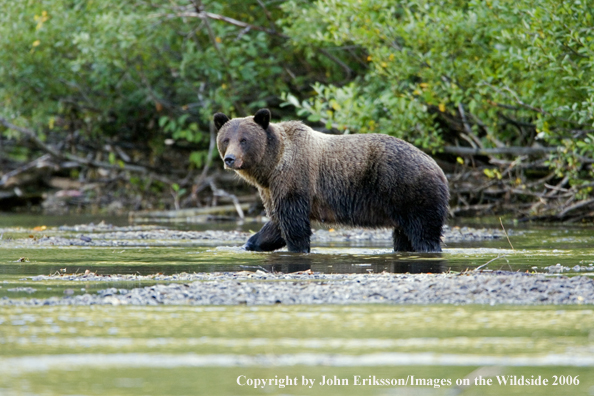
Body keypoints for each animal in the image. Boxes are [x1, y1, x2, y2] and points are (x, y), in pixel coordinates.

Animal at [214, 108, 448, 254]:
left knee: (424, 232)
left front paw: (298, 248)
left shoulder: (295, 178)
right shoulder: (271, 189)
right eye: (226, 139)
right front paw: (251, 243)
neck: (271, 165)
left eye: (244, 140)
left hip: (410, 190)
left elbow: (294, 224)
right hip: (402, 205)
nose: (230, 159)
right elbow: (277, 223)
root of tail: (437, 166)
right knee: (404, 235)